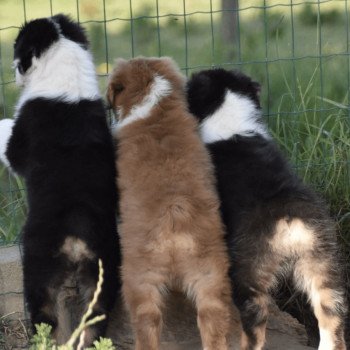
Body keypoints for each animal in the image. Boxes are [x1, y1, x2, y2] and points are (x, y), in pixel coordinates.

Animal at [0, 15, 121, 346]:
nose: (13, 73)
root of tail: (78, 232)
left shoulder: (18, 145)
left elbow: (5, 134)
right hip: (103, 274)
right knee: (93, 322)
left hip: (39, 272)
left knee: (46, 319)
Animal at [106, 57, 232, 350]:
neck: (156, 108)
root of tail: (176, 225)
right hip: (211, 276)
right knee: (213, 320)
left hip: (140, 280)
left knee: (147, 323)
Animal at [187, 68, 346, 350]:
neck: (230, 119)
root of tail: (289, 219)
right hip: (322, 261)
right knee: (331, 316)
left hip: (251, 269)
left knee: (256, 328)